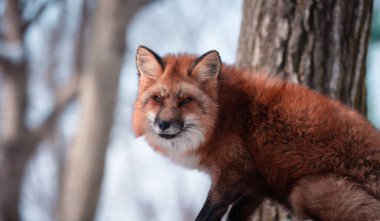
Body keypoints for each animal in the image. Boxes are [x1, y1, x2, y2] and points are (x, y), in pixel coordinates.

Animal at [133, 45, 380, 220]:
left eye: (186, 101)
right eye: (157, 99)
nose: (163, 124)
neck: (221, 119)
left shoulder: (233, 170)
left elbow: (207, 214)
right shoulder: (254, 181)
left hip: (307, 191)